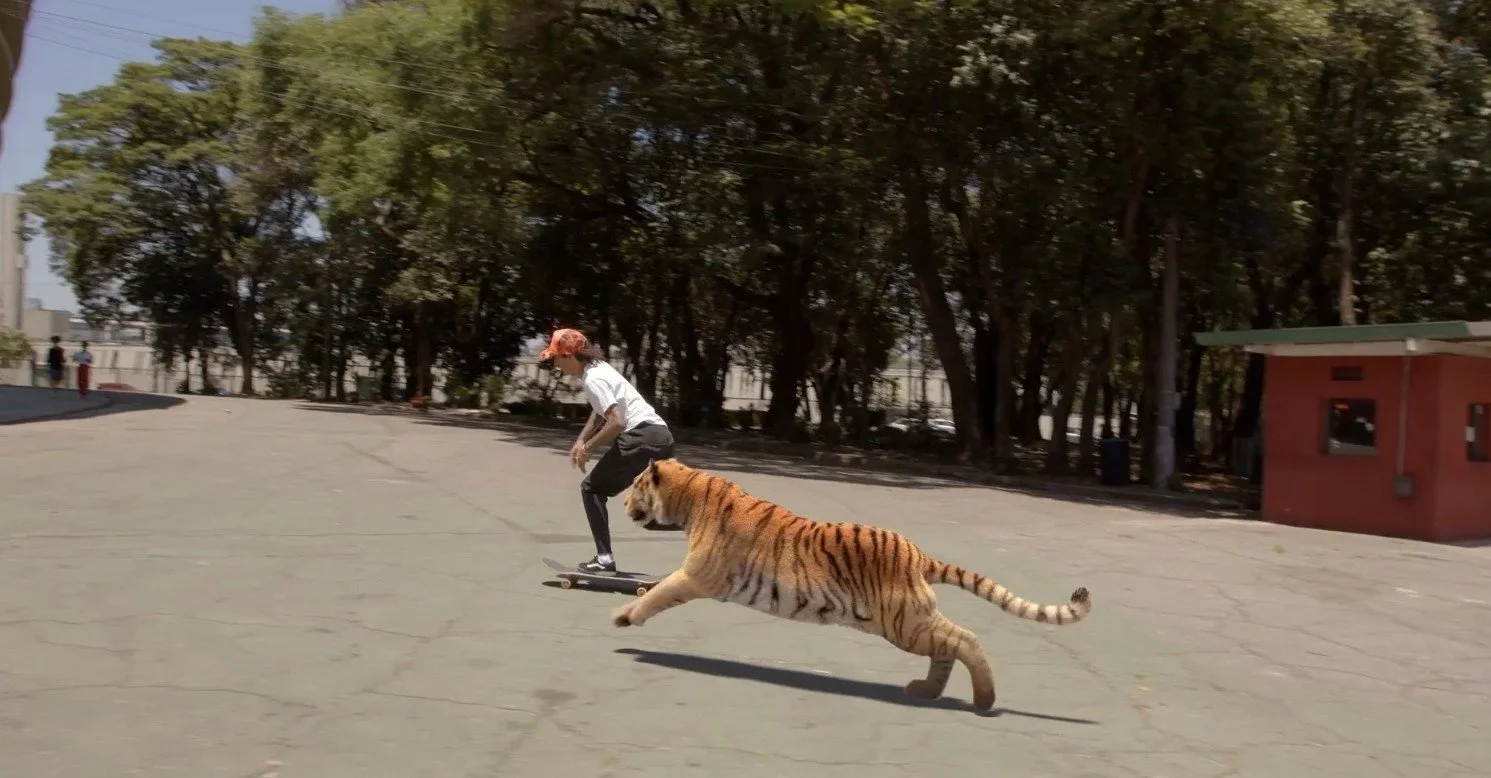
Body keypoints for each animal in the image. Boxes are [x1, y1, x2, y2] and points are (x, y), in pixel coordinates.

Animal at [614, 457, 1093, 712]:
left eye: (635, 484)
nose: (621, 503)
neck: (689, 498)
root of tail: (919, 554)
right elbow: (656, 587)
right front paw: (628, 606)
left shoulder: (697, 574)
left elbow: (661, 591)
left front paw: (624, 616)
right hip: (909, 623)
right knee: (948, 647)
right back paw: (926, 691)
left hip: (902, 623)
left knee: (965, 639)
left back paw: (984, 700)